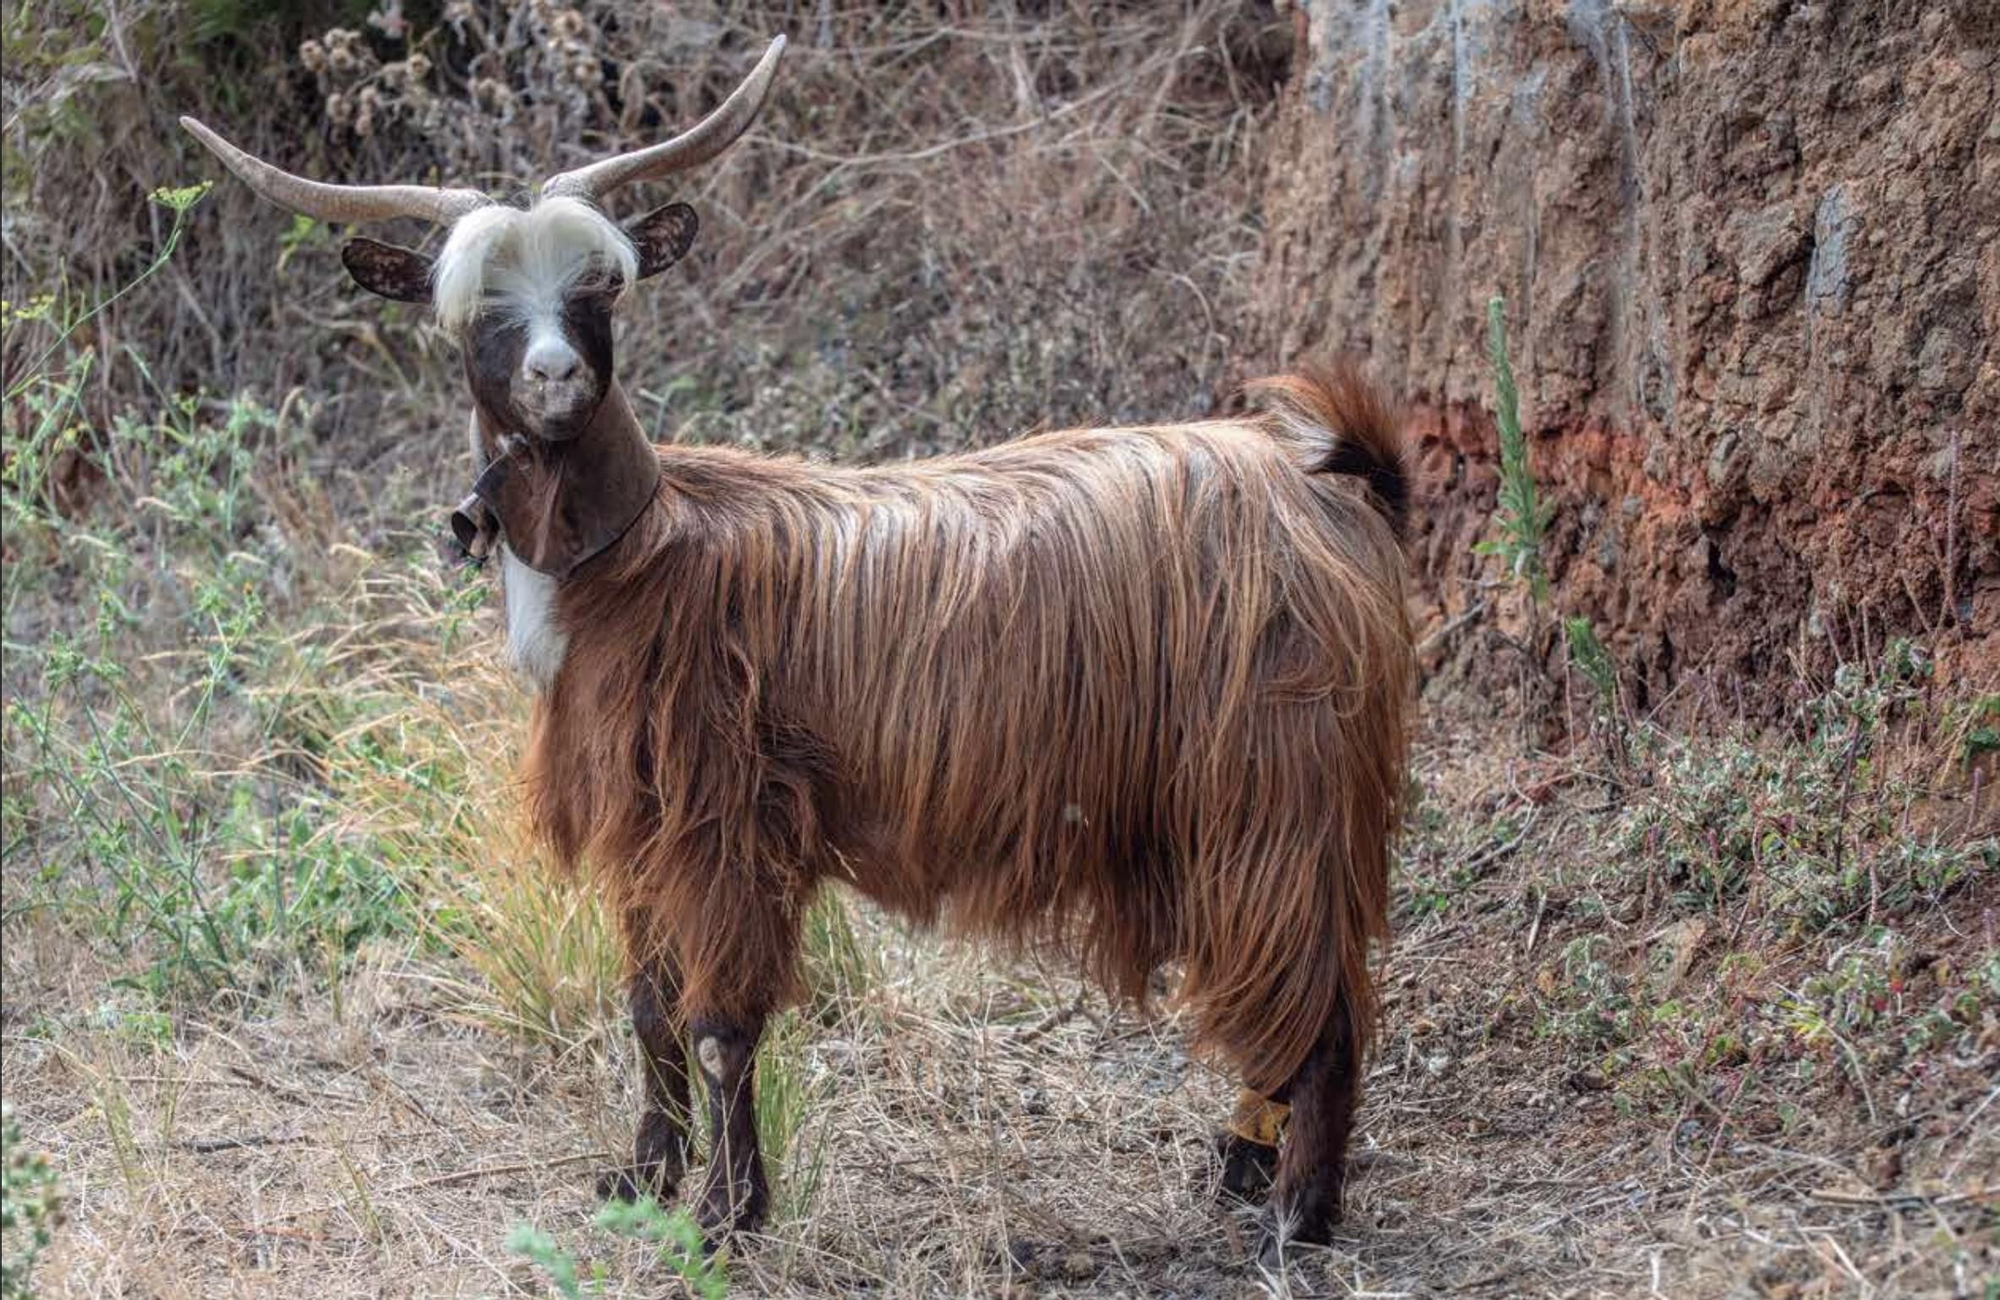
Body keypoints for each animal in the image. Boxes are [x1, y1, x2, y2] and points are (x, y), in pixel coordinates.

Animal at [183, 33, 1414, 1253]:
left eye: (596, 291)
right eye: (477, 309)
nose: (555, 376)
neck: (641, 556)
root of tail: (1324, 487)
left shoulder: (726, 820)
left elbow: (720, 1022)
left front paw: (729, 1215)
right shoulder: (645, 821)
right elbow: (646, 1008)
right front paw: (645, 1177)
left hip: (1273, 785)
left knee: (1319, 991)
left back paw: (1296, 1215)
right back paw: (1246, 1169)